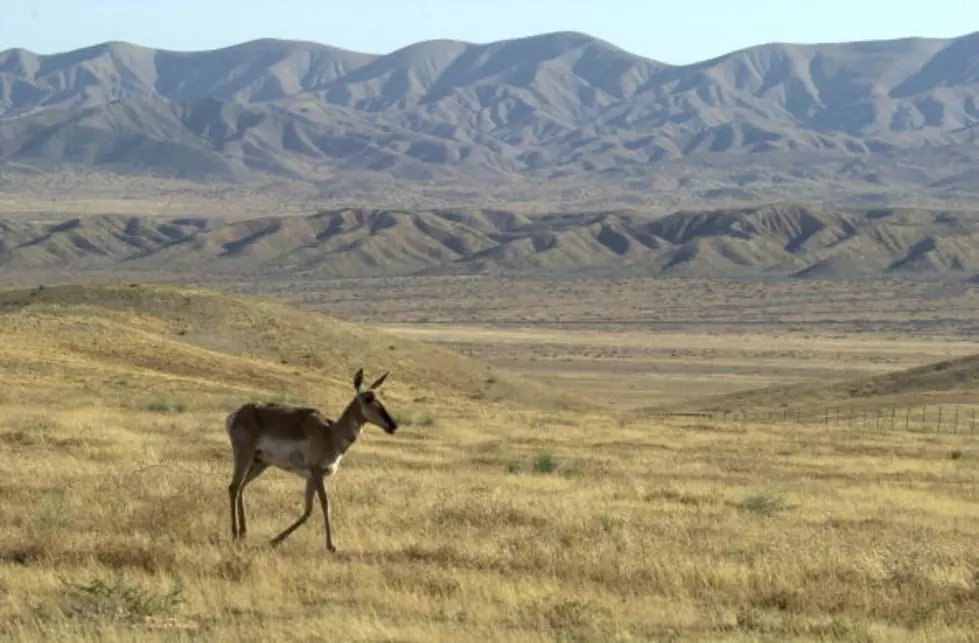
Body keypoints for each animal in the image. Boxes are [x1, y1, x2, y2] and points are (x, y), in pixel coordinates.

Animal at [225, 370, 398, 552]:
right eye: (368, 398)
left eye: (380, 397)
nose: (393, 425)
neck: (330, 433)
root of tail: (238, 413)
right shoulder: (317, 473)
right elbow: (325, 504)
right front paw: (331, 545)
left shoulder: (310, 477)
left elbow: (308, 510)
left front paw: (275, 540)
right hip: (244, 456)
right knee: (234, 487)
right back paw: (234, 533)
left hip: (260, 463)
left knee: (242, 486)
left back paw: (244, 532)